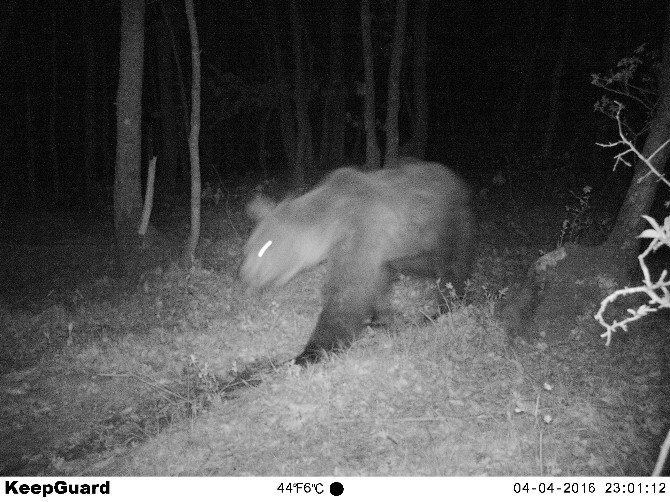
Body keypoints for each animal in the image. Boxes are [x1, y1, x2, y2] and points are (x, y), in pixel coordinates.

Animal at [242, 157, 478, 364]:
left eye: (264, 248)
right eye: (249, 248)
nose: (246, 277)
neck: (332, 224)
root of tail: (456, 178)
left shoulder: (363, 232)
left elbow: (347, 294)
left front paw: (312, 352)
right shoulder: (371, 249)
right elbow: (376, 284)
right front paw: (381, 318)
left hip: (449, 223)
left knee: (452, 265)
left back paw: (447, 304)